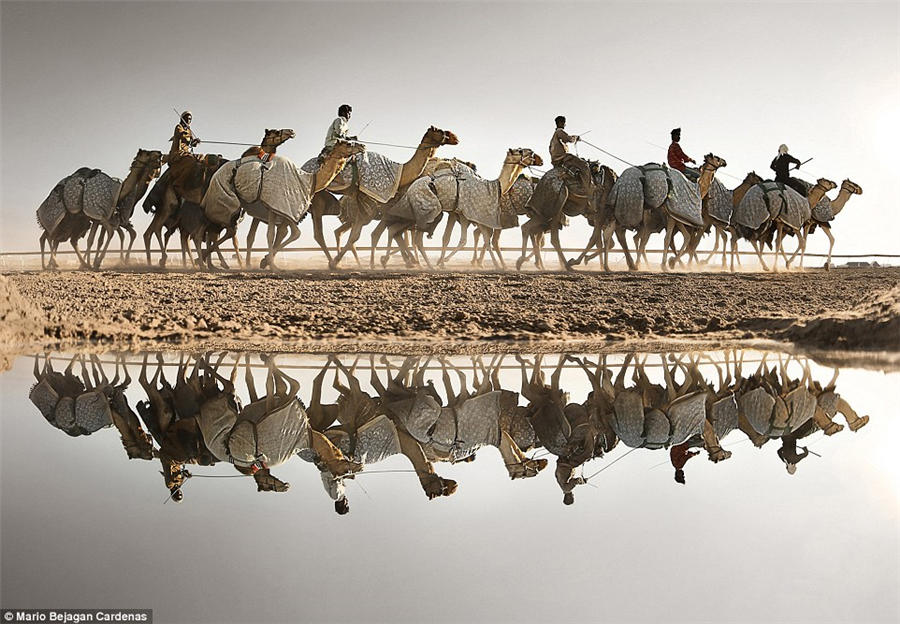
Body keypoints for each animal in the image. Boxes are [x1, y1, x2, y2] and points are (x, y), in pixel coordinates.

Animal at [142, 129, 294, 268]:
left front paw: (212, 263)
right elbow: (223, 235)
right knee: (158, 230)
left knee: (162, 233)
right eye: (274, 132)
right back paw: (161, 261)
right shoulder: (218, 211)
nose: (290, 131)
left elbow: (218, 236)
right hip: (170, 205)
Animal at [205, 140, 366, 270]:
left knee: (224, 231)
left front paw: (267, 262)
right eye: (348, 143)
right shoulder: (277, 206)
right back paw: (207, 260)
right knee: (220, 229)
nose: (362, 146)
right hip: (226, 200)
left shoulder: (282, 209)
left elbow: (288, 233)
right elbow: (273, 234)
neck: (310, 181)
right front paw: (272, 265)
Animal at [300, 125, 458, 270]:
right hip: (318, 198)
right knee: (319, 234)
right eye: (440, 131)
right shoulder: (374, 204)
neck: (400, 173)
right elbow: (368, 235)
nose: (455, 137)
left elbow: (358, 235)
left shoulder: (369, 207)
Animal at [372, 151, 540, 270]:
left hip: (414, 214)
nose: (540, 159)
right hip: (429, 211)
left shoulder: (464, 214)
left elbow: (467, 239)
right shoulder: (474, 214)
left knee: (395, 231)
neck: (493, 186)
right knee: (408, 236)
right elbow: (473, 239)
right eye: (523, 151)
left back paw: (398, 261)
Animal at [600, 154, 728, 270]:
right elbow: (668, 239)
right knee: (629, 236)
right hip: (631, 208)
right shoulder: (673, 216)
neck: (697, 189)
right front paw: (666, 265)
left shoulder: (678, 216)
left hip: (620, 210)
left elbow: (686, 238)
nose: (724, 161)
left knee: (611, 233)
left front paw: (672, 262)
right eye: (717, 158)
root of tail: (618, 182)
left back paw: (611, 266)